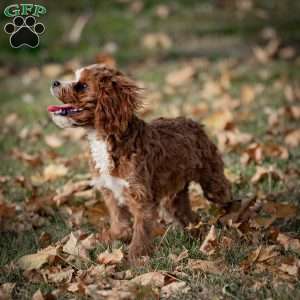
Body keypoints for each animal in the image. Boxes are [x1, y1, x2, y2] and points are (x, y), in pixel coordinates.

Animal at [48, 63, 232, 262]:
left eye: (82, 86)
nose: (54, 82)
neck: (106, 140)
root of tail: (193, 122)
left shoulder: (140, 196)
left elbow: (141, 230)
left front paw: (136, 257)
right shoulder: (111, 192)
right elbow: (119, 223)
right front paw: (109, 238)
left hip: (212, 181)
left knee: (226, 196)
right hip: (174, 195)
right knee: (187, 214)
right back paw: (195, 234)